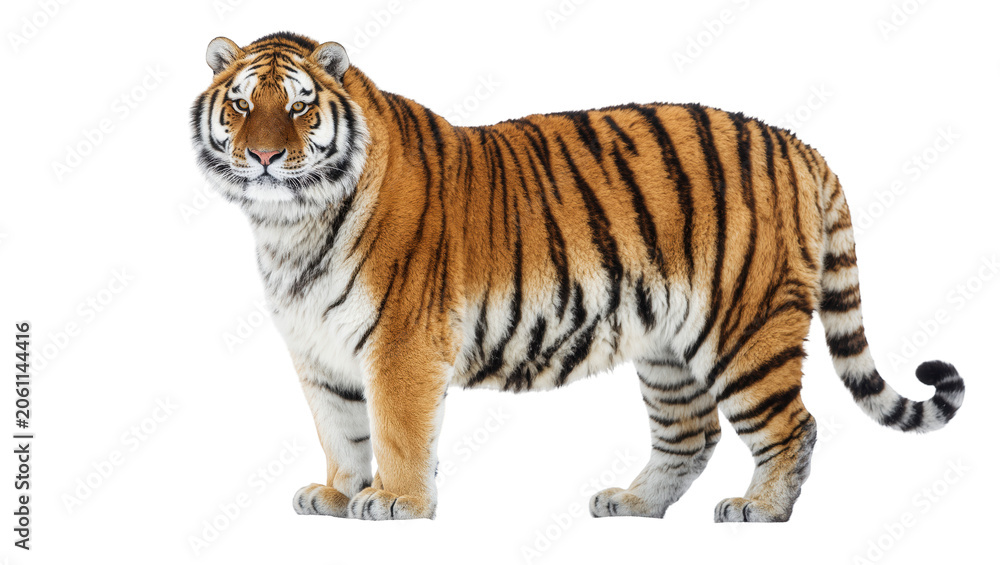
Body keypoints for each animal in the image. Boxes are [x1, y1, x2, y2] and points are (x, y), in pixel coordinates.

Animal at [190, 31, 965, 522]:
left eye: (298, 105)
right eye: (241, 104)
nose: (262, 157)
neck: (289, 226)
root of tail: (798, 144)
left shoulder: (401, 344)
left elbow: (398, 430)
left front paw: (395, 502)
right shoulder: (318, 351)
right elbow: (341, 430)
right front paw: (337, 495)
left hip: (746, 329)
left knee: (793, 425)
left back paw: (761, 510)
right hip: (669, 346)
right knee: (690, 433)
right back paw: (633, 504)